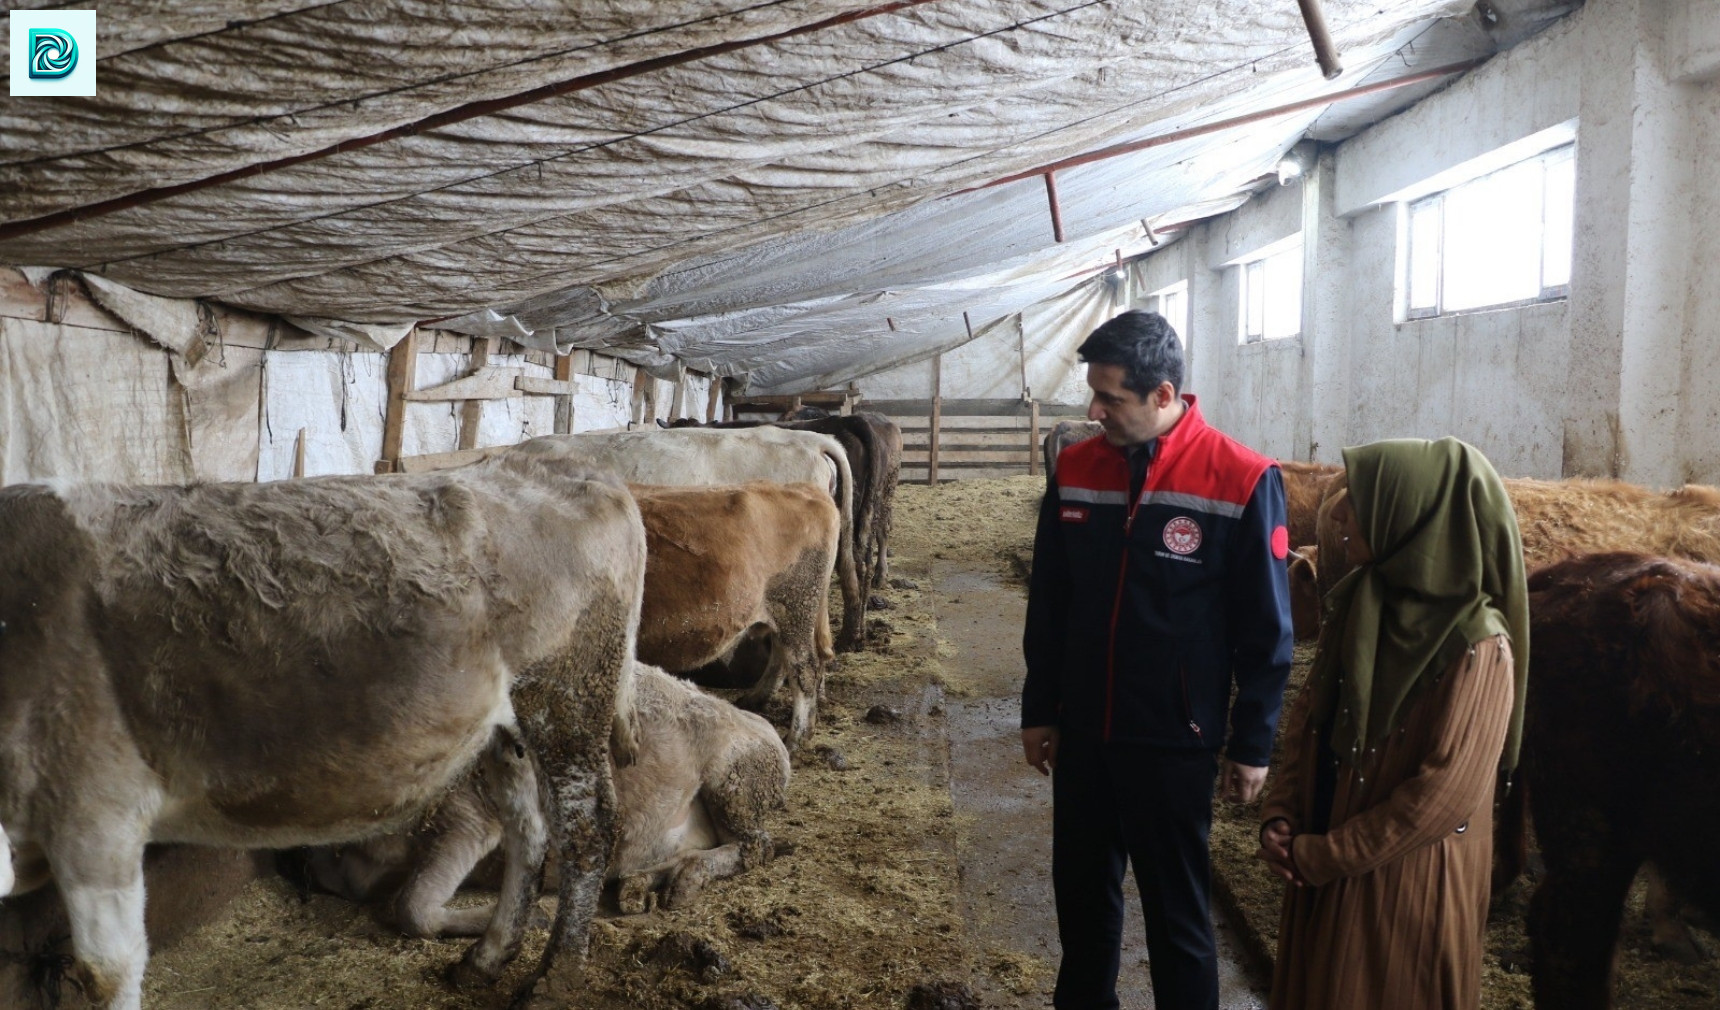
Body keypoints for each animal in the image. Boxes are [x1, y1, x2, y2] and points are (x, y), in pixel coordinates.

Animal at [0, 457, 646, 1010]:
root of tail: (571, 470)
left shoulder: (94, 809)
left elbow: (106, 971)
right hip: (505, 727)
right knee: (526, 826)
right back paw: (486, 958)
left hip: (568, 696)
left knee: (586, 831)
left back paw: (553, 980)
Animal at [309, 664, 791, 942]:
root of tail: (762, 726)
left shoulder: (469, 816)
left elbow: (412, 908)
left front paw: (531, 916)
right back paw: (641, 886)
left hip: (733, 781)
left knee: (756, 846)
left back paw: (684, 882)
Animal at [632, 481, 846, 750]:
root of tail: (807, 489)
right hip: (782, 613)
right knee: (780, 657)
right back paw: (754, 700)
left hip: (797, 606)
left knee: (804, 670)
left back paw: (795, 740)